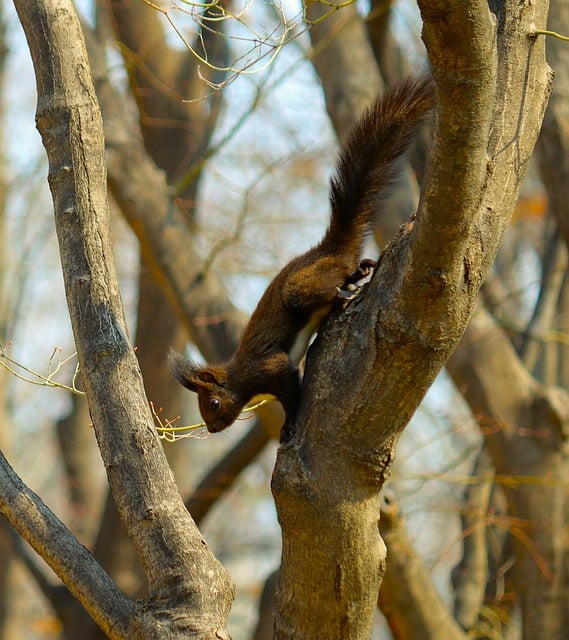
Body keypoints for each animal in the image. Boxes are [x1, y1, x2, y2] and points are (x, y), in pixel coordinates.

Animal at [170, 72, 434, 438]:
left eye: (214, 403)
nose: (212, 429)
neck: (241, 375)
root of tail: (328, 248)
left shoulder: (271, 367)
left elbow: (289, 391)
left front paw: (290, 424)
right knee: (350, 270)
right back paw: (360, 272)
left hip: (302, 288)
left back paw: (342, 294)